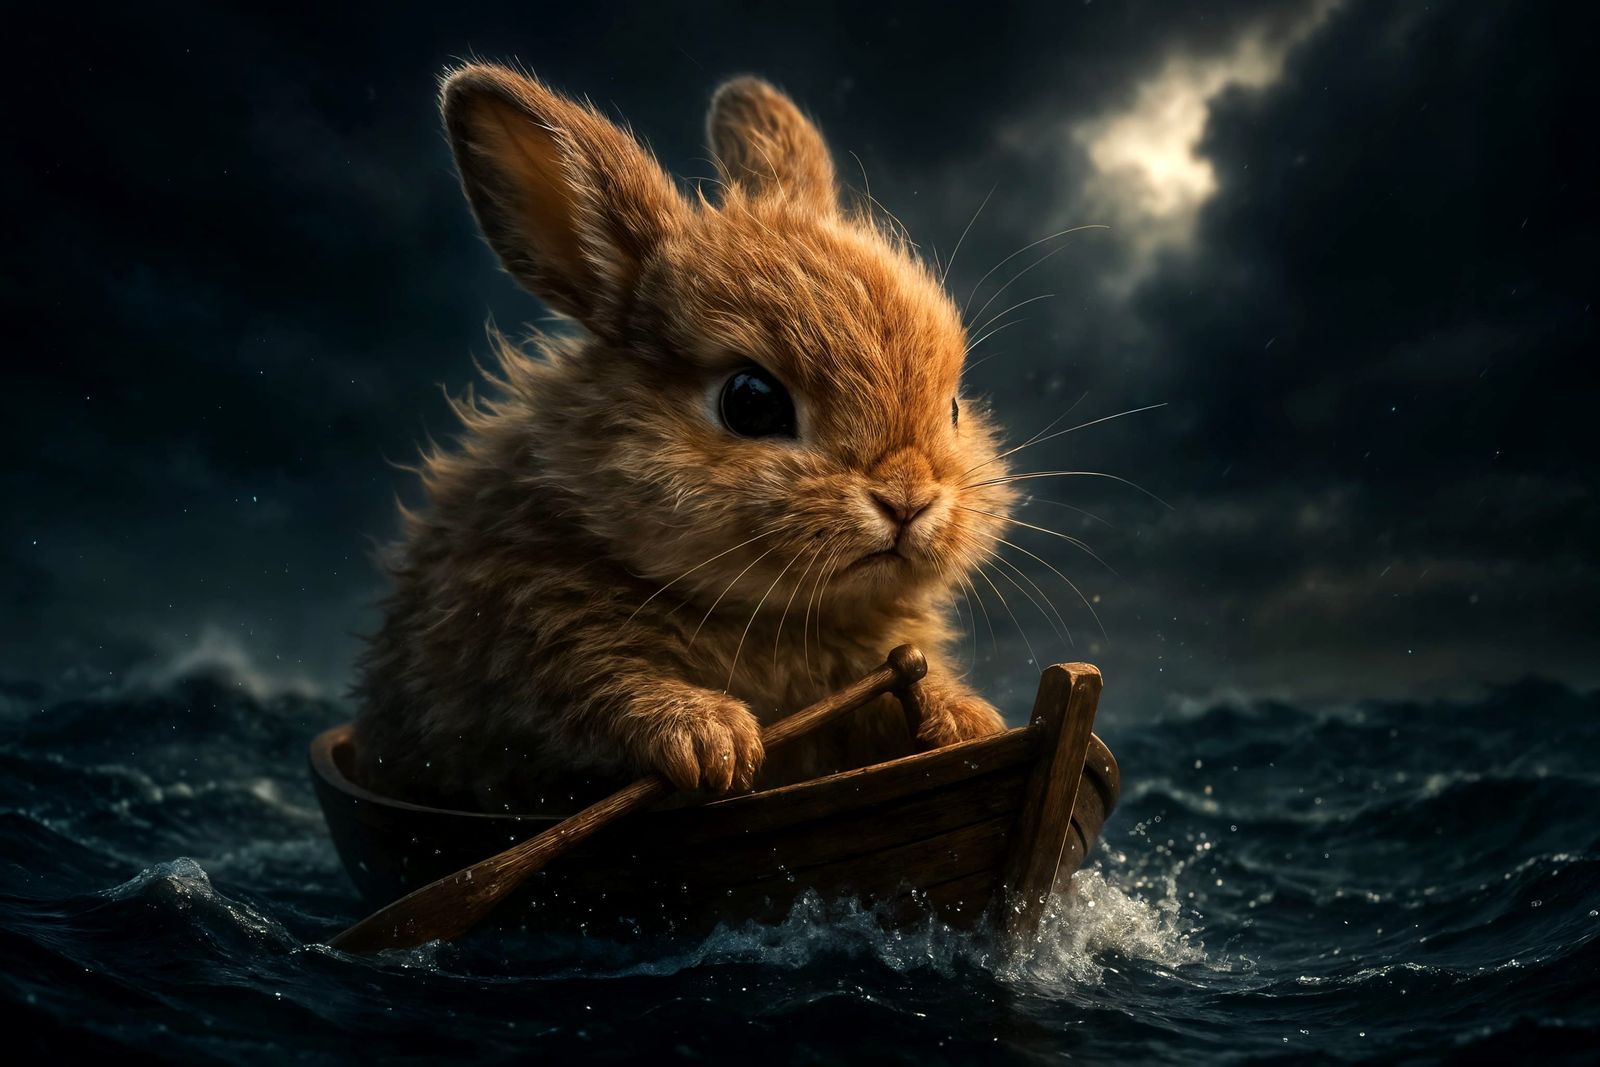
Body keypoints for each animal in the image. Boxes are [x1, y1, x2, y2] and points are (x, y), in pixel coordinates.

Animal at [353, 63, 1018, 812]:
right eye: (751, 402)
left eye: (954, 407)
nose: (908, 498)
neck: (769, 614)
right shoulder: (536, 635)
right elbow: (606, 689)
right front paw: (712, 742)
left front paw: (967, 722)